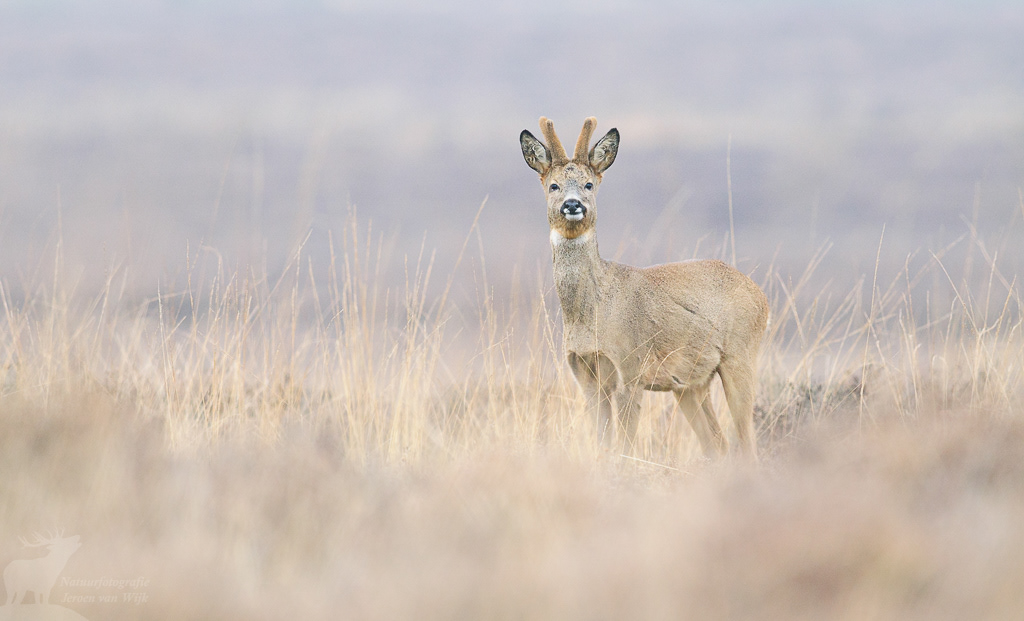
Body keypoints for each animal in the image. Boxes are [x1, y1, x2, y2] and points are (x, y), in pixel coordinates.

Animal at [520, 117, 769, 457]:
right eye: (553, 185)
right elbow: (602, 445)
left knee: (746, 444)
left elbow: (624, 448)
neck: (593, 313)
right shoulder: (586, 377)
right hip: (691, 385)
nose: (572, 205)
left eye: (589, 184)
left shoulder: (630, 368)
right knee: (717, 445)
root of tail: (762, 297)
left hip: (740, 356)